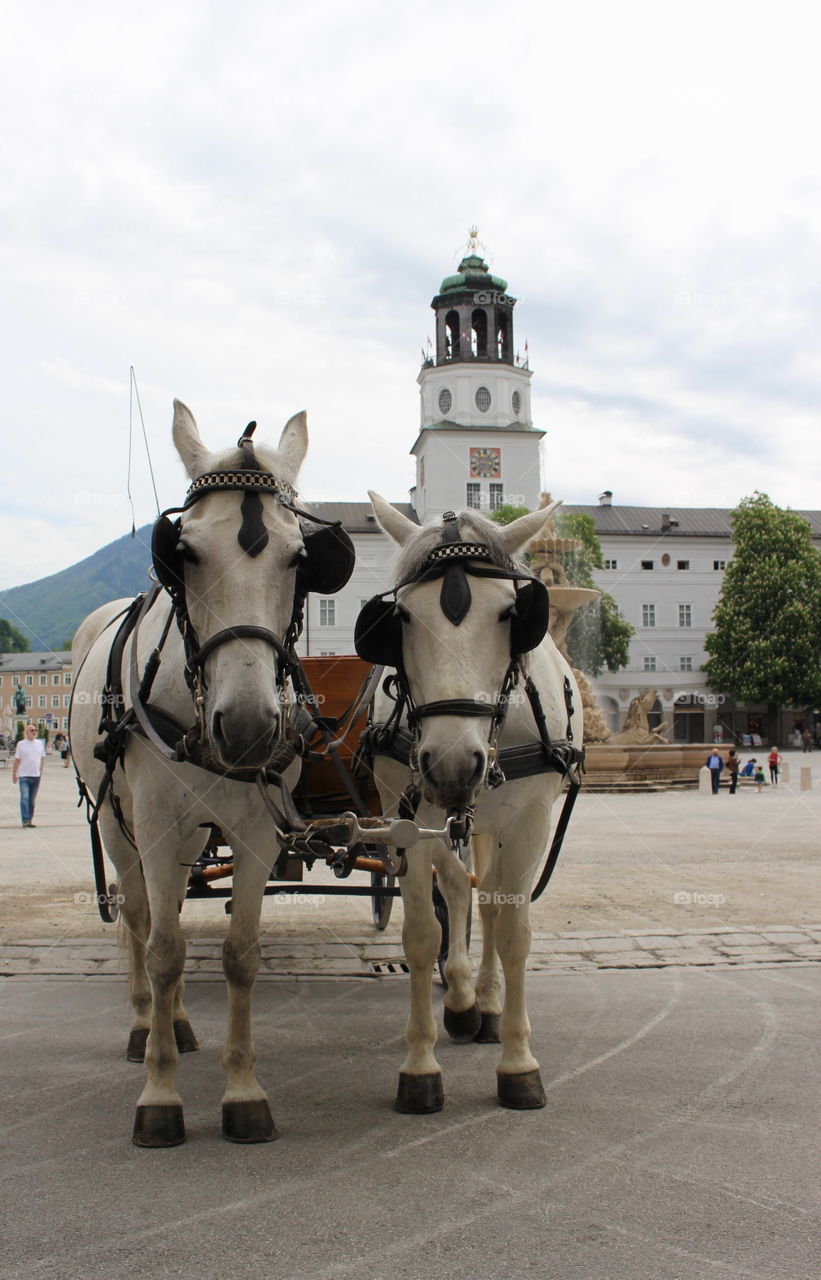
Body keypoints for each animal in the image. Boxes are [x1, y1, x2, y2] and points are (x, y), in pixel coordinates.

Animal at [72, 401, 350, 1152]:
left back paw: (175, 1025)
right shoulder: (154, 825)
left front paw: (243, 1092)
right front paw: (160, 1096)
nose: (249, 725)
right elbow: (165, 949)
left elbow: (240, 955)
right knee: (142, 920)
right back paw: (149, 1026)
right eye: (185, 551)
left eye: (300, 558)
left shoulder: (255, 830)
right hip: (119, 825)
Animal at [353, 494, 584, 1116]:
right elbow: (422, 932)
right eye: (401, 618)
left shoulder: (529, 822)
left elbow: (512, 932)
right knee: (460, 890)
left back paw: (486, 1003)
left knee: (491, 903)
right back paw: (460, 1000)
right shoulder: (406, 817)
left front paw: (518, 1062)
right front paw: (420, 1066)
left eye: (510, 613)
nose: (455, 763)